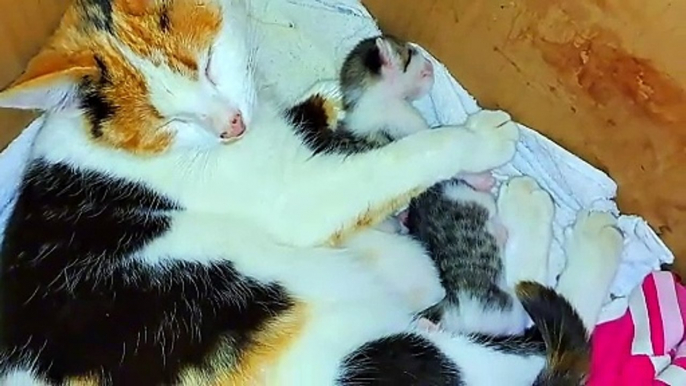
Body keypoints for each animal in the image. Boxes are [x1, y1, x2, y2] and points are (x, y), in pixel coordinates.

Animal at [0, 0, 624, 386]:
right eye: (167, 120)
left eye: (207, 66)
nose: (230, 126)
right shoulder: (292, 196)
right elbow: (397, 161)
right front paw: (475, 140)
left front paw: (326, 98)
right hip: (397, 354)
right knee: (533, 326)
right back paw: (564, 222)